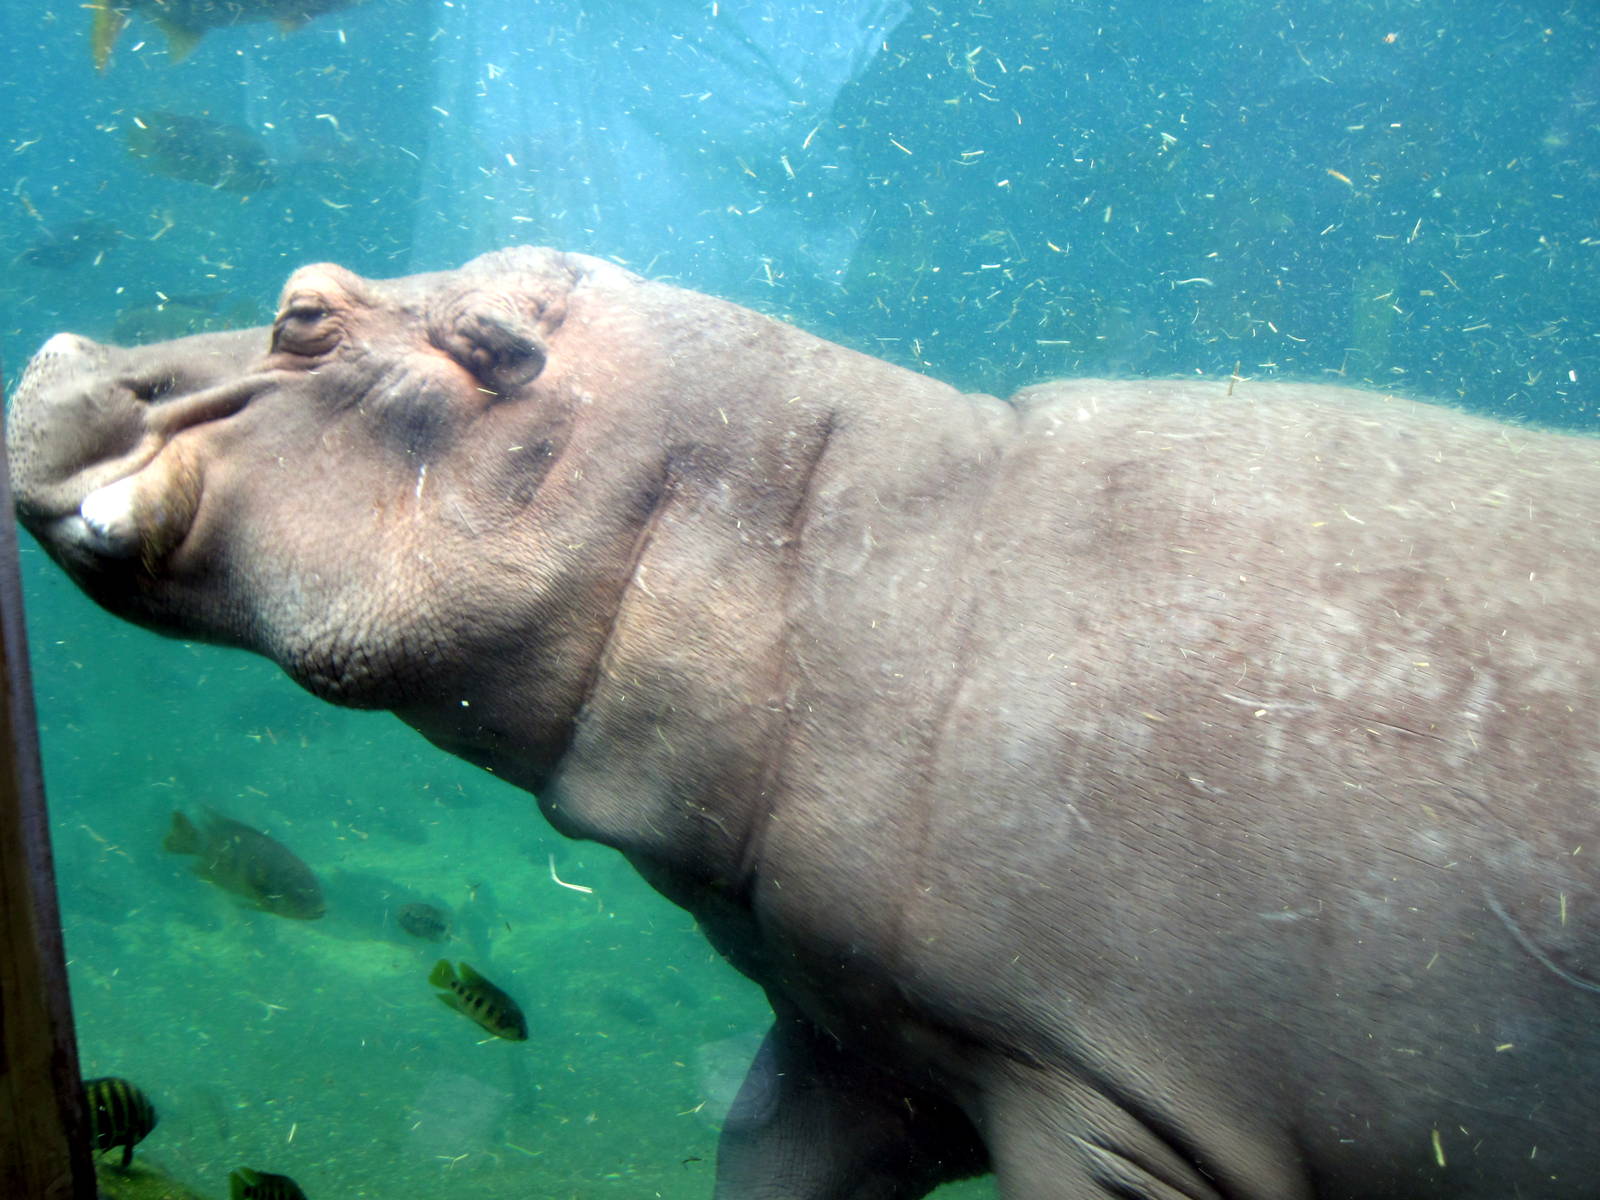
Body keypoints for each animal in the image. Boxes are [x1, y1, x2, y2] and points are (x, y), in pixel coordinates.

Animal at [9, 245, 1600, 1199]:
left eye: (306, 312)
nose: (62, 352)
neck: (831, 549)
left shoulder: (1103, 1102)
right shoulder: (857, 1045)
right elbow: (768, 1150)